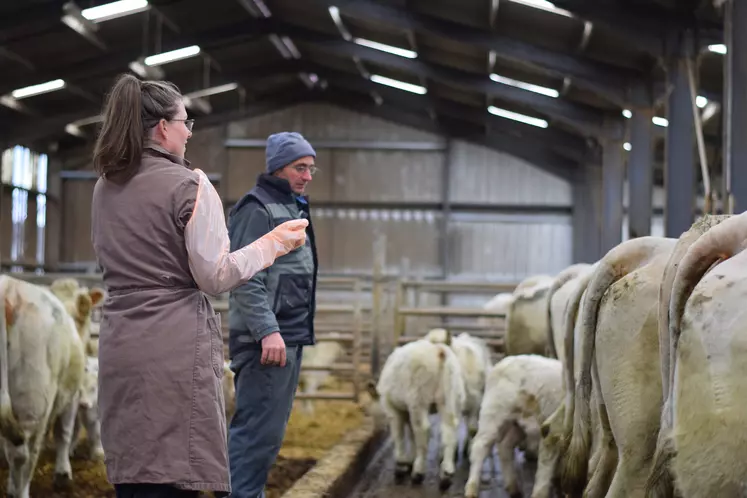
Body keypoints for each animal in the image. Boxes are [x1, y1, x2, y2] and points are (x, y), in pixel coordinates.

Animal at [0, 274, 102, 496]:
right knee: (23, 454)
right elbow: (64, 431)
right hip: (31, 400)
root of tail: (8, 288)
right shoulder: (72, 394)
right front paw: (63, 473)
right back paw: (22, 492)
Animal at [370, 334, 468, 490]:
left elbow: (399, 434)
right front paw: (410, 459)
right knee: (449, 431)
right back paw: (446, 474)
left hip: (418, 398)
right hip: (450, 397)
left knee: (423, 431)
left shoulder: (393, 409)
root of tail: (439, 350)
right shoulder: (406, 411)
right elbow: (411, 434)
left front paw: (401, 464)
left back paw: (418, 473)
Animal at [464, 354, 564, 498]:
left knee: (505, 446)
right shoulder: (553, 430)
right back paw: (471, 488)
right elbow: (548, 462)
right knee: (480, 447)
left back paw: (513, 488)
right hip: (493, 414)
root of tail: (503, 362)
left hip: (516, 423)